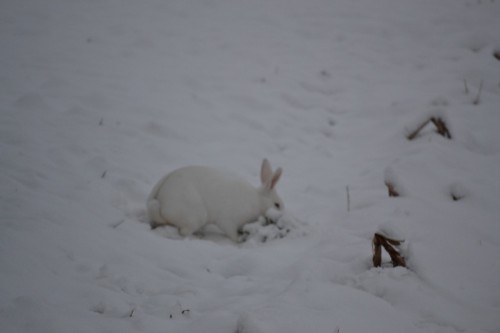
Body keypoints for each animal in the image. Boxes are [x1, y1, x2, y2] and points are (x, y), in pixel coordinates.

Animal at [146, 159, 284, 241]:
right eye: (277, 205)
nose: (281, 215)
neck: (257, 200)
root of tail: (158, 202)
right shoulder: (228, 220)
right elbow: (231, 233)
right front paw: (239, 239)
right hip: (195, 215)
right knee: (183, 231)